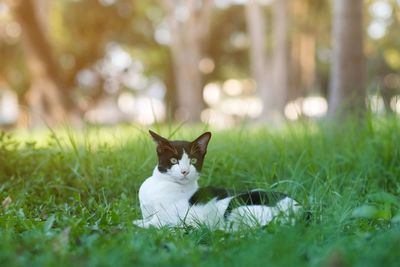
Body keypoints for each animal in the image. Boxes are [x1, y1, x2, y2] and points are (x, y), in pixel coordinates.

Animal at [133, 131, 302, 231]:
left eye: (193, 160)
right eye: (174, 160)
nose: (185, 171)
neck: (160, 184)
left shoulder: (170, 216)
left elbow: (150, 223)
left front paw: (136, 224)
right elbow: (147, 219)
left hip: (236, 205)